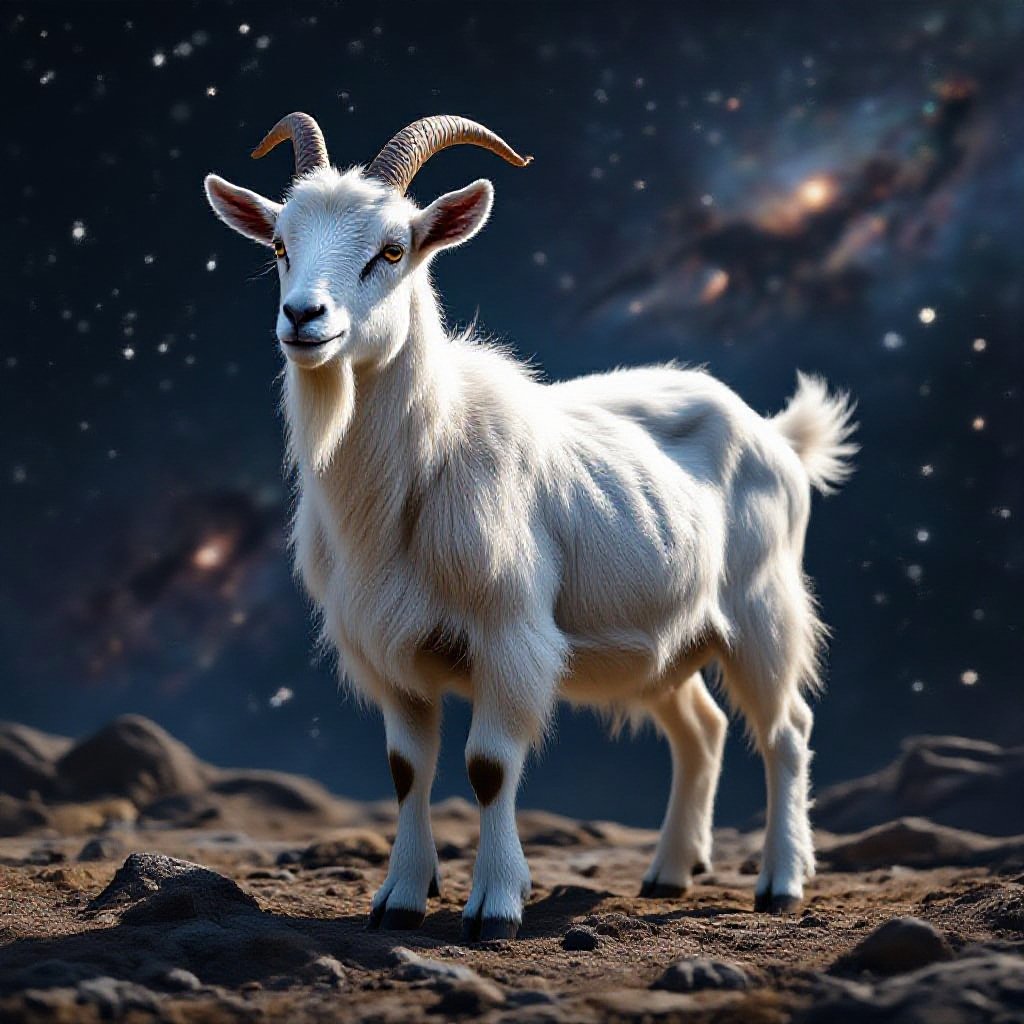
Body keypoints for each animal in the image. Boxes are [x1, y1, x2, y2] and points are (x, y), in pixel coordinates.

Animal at [204, 112, 857, 941]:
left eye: (393, 249)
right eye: (280, 245)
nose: (303, 318)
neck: (424, 462)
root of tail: (777, 434)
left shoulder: (510, 633)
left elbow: (488, 768)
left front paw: (494, 907)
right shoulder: (390, 650)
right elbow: (407, 770)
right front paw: (400, 899)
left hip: (763, 607)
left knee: (787, 731)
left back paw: (781, 882)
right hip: (661, 635)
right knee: (700, 730)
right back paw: (670, 873)